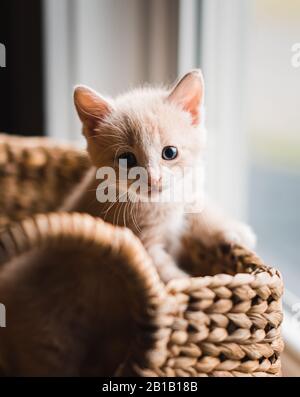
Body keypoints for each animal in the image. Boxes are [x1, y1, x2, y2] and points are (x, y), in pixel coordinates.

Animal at [63, 70, 255, 282]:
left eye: (170, 152)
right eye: (127, 159)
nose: (153, 178)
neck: (162, 204)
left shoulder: (188, 190)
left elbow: (203, 209)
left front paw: (232, 229)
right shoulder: (142, 246)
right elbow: (166, 272)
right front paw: (193, 283)